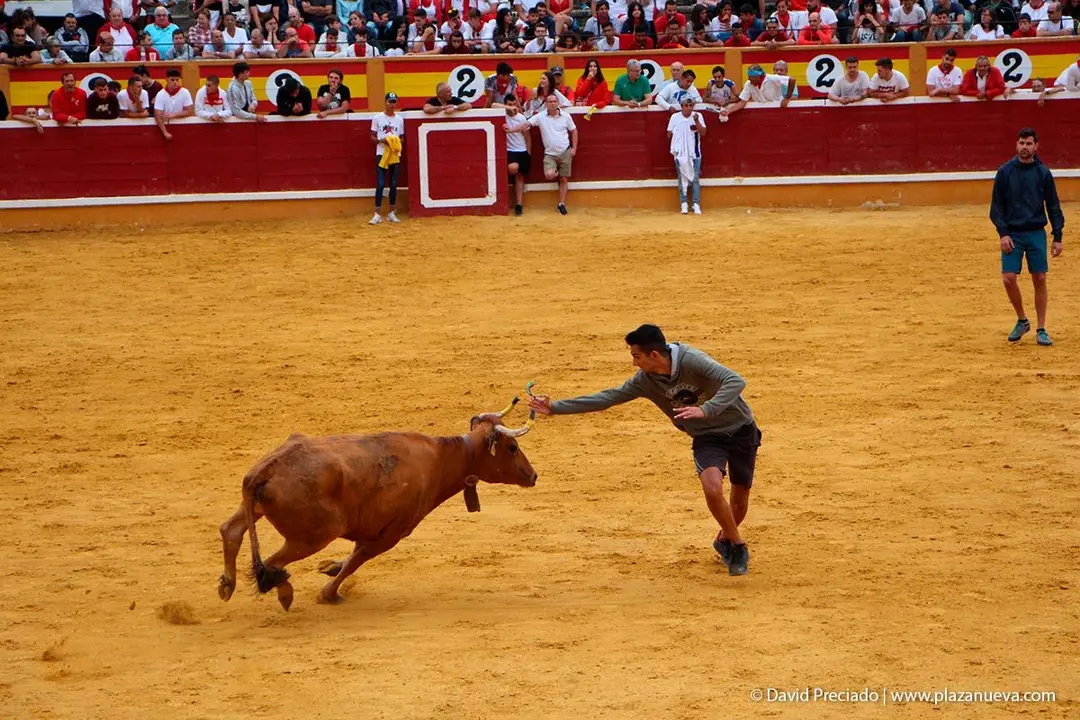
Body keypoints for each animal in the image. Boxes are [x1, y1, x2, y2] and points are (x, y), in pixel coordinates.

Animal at [217, 397, 538, 611]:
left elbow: (350, 558)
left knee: (231, 530)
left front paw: (330, 568)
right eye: (513, 447)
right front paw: (329, 594)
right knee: (272, 564)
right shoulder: (390, 534)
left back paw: (227, 585)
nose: (533, 475)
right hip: (314, 536)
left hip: (259, 510)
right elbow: (356, 560)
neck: (444, 458)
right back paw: (284, 595)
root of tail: (269, 468)